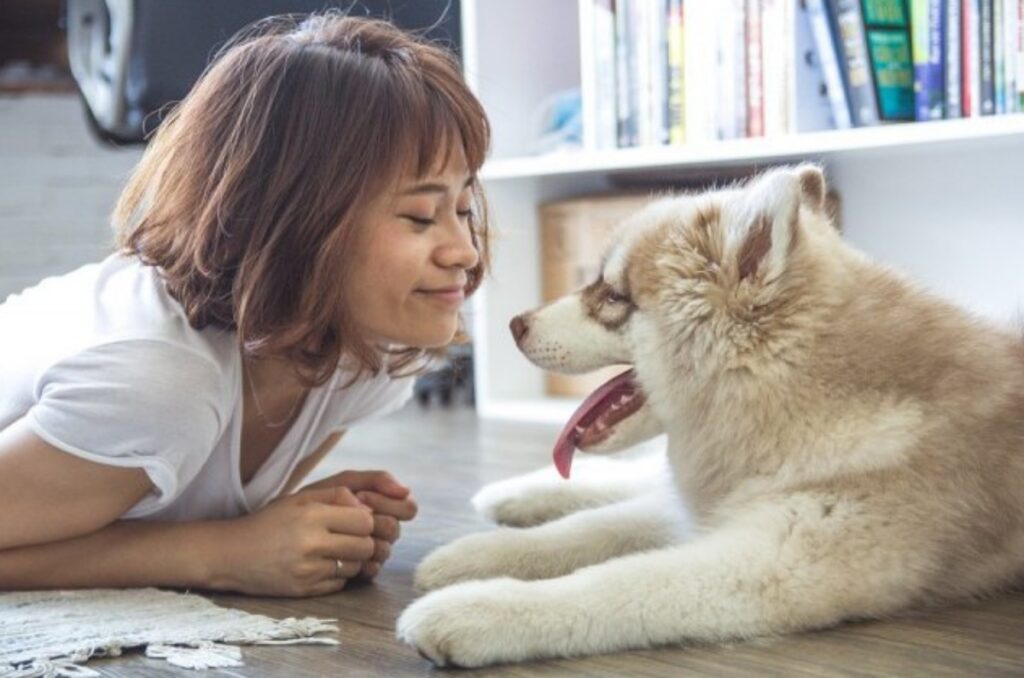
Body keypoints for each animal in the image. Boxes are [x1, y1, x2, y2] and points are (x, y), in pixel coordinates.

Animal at [393, 165, 1024, 667]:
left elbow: (616, 582)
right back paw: (513, 495)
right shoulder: (716, 509)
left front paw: (477, 609)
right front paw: (471, 557)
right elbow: (586, 530)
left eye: (612, 296)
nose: (512, 324)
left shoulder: (771, 560)